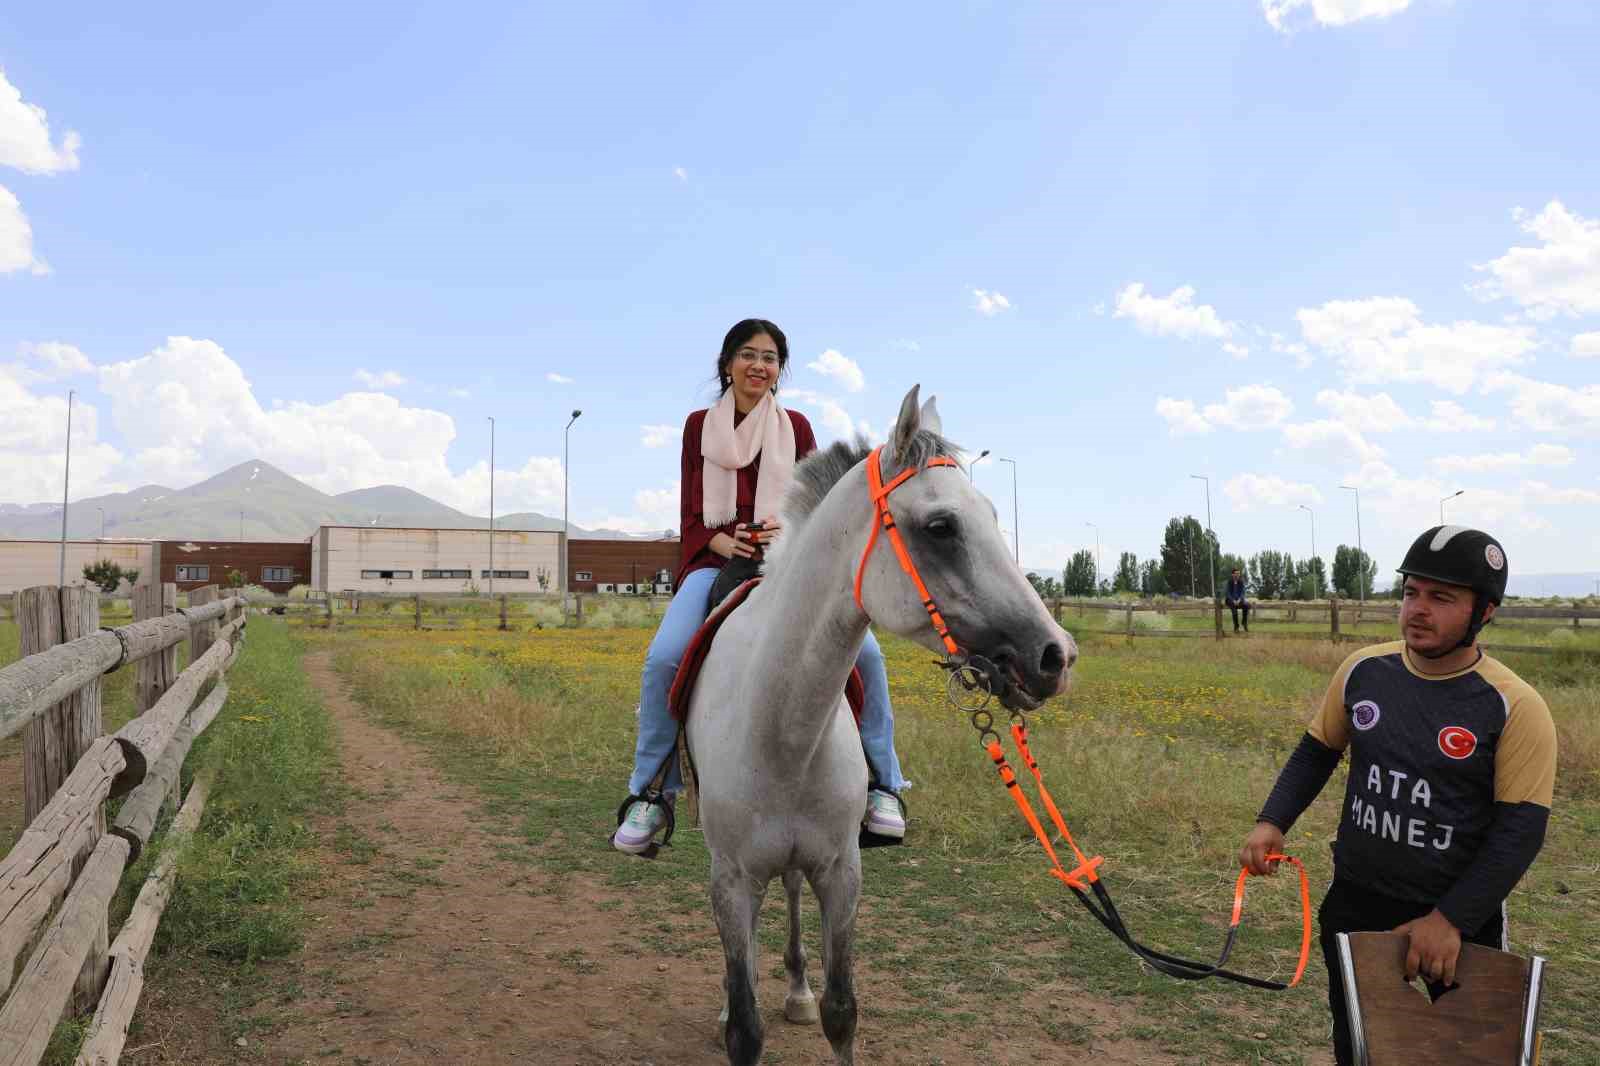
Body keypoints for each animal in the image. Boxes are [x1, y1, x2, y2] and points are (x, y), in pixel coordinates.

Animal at [688, 384, 1075, 1062]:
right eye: (942, 527)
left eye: (993, 515)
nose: (1056, 655)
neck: (782, 729)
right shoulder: (731, 881)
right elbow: (744, 1026)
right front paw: (735, 1008)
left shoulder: (842, 872)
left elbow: (842, 1012)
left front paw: (811, 998)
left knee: (792, 893)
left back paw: (796, 990)